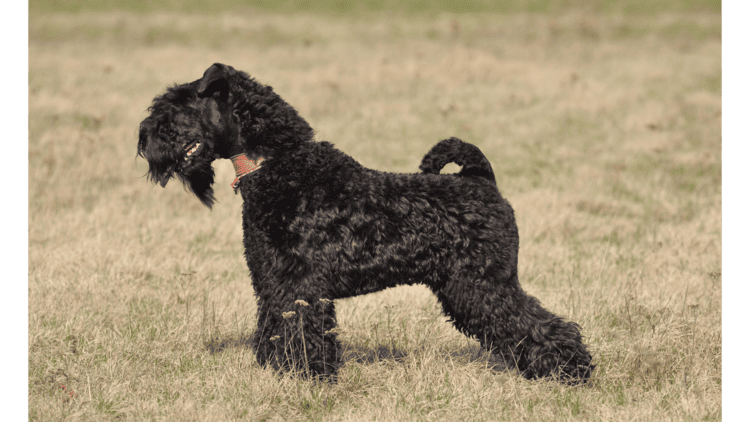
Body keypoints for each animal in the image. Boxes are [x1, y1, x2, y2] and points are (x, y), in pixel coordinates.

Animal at [138, 63, 596, 386]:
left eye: (178, 106)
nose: (144, 139)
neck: (279, 166)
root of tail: (482, 180)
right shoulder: (272, 280)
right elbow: (273, 327)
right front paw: (277, 373)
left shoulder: (301, 284)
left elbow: (302, 331)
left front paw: (308, 378)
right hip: (466, 285)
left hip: (483, 284)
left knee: (540, 324)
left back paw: (571, 371)